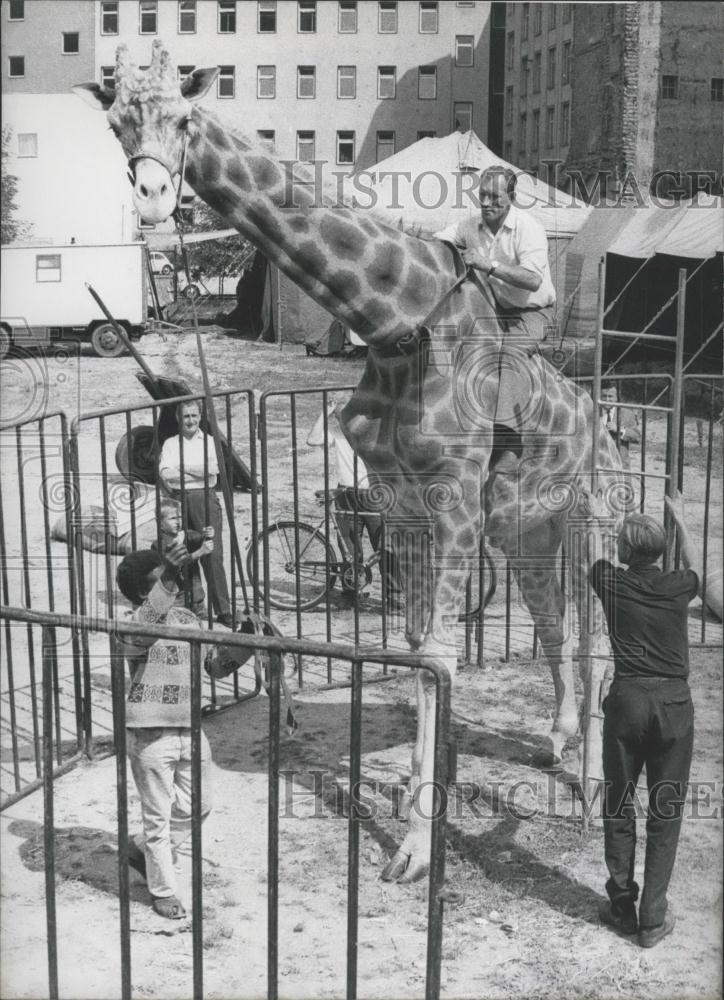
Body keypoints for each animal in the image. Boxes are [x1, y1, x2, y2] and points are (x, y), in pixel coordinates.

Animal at [76, 43, 624, 884]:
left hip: (592, 517)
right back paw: (556, 742)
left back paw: (593, 792)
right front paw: (418, 794)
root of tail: (608, 425)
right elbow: (416, 648)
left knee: (596, 648)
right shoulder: (401, 507)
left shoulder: (454, 502)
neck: (397, 325)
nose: (153, 197)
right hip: (528, 531)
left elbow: (438, 654)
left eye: (184, 117)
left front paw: (415, 848)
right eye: (117, 126)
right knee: (554, 629)